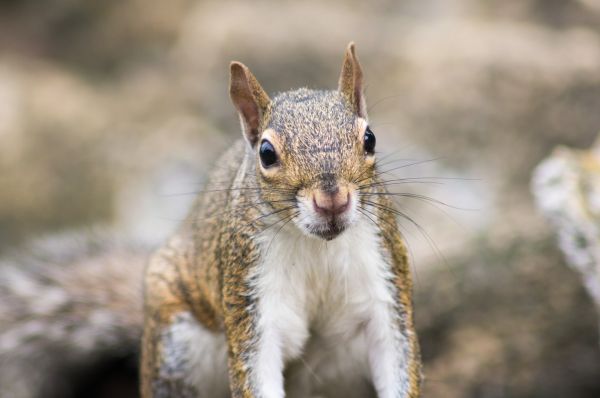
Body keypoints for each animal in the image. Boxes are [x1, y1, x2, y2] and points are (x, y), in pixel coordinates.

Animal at [141, 42, 422, 396]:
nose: (332, 200)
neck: (318, 246)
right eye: (266, 153)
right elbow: (257, 366)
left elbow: (395, 351)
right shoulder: (250, 292)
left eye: (369, 138)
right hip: (176, 344)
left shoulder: (382, 275)